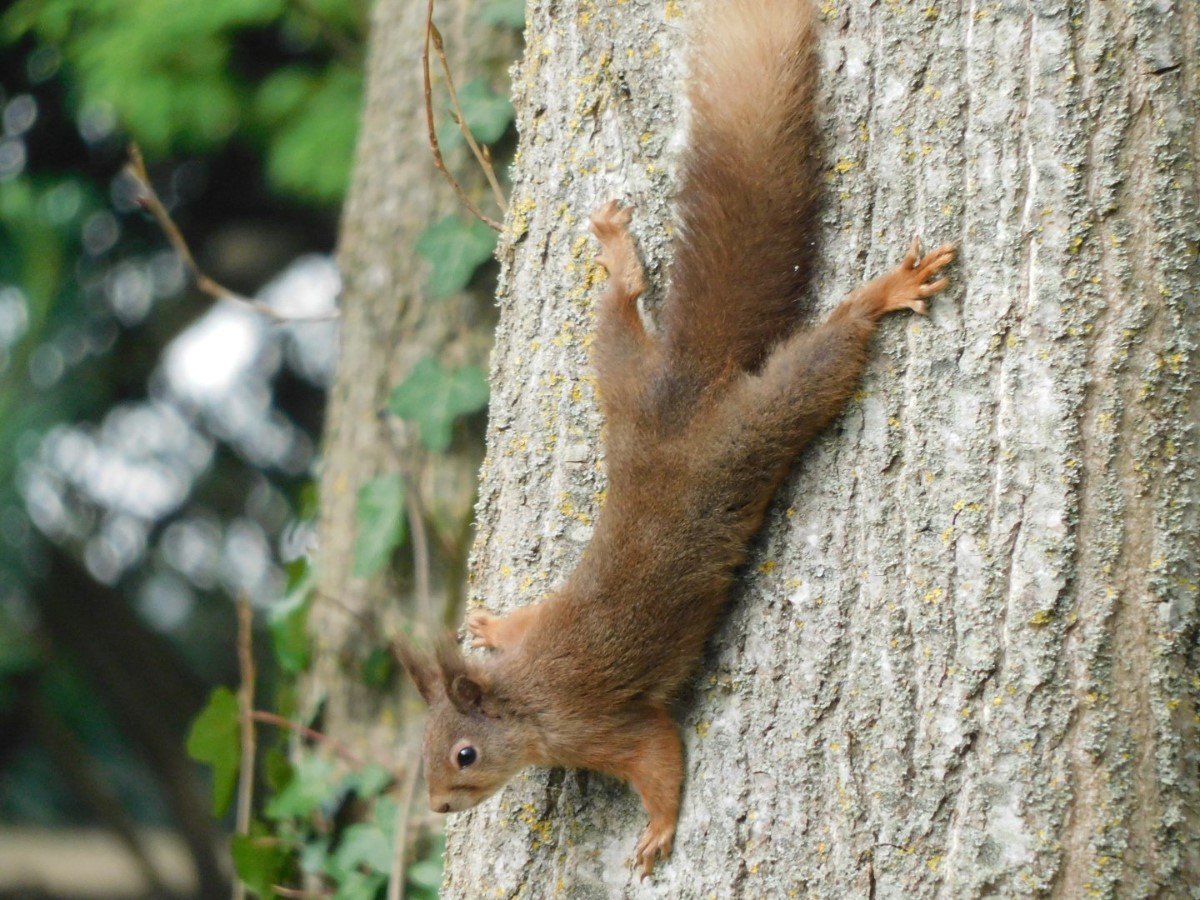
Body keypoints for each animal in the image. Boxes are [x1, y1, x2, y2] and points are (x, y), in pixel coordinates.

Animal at [396, 0, 956, 879]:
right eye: (426, 752)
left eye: (462, 756)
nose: (438, 806)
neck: (524, 697)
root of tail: (687, 389)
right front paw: (490, 626)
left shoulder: (598, 724)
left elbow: (657, 755)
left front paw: (656, 831)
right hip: (623, 388)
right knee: (618, 322)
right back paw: (618, 258)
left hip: (759, 422)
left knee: (826, 352)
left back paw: (883, 295)